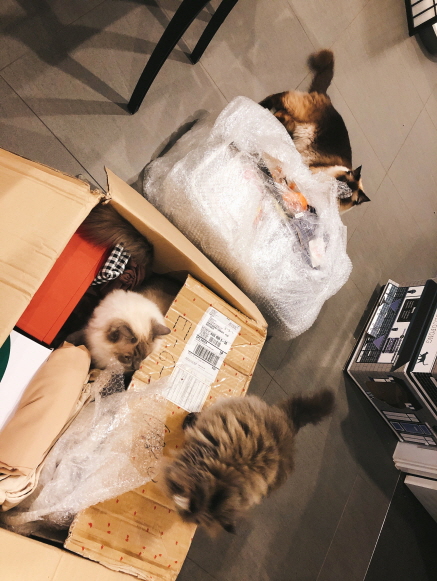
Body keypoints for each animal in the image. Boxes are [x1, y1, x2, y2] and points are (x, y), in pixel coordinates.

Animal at [259, 49, 369, 212]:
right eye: (341, 182)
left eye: (345, 194)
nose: (337, 188)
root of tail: (327, 97)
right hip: (297, 108)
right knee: (279, 97)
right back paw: (261, 105)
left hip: (294, 122)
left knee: (281, 114)